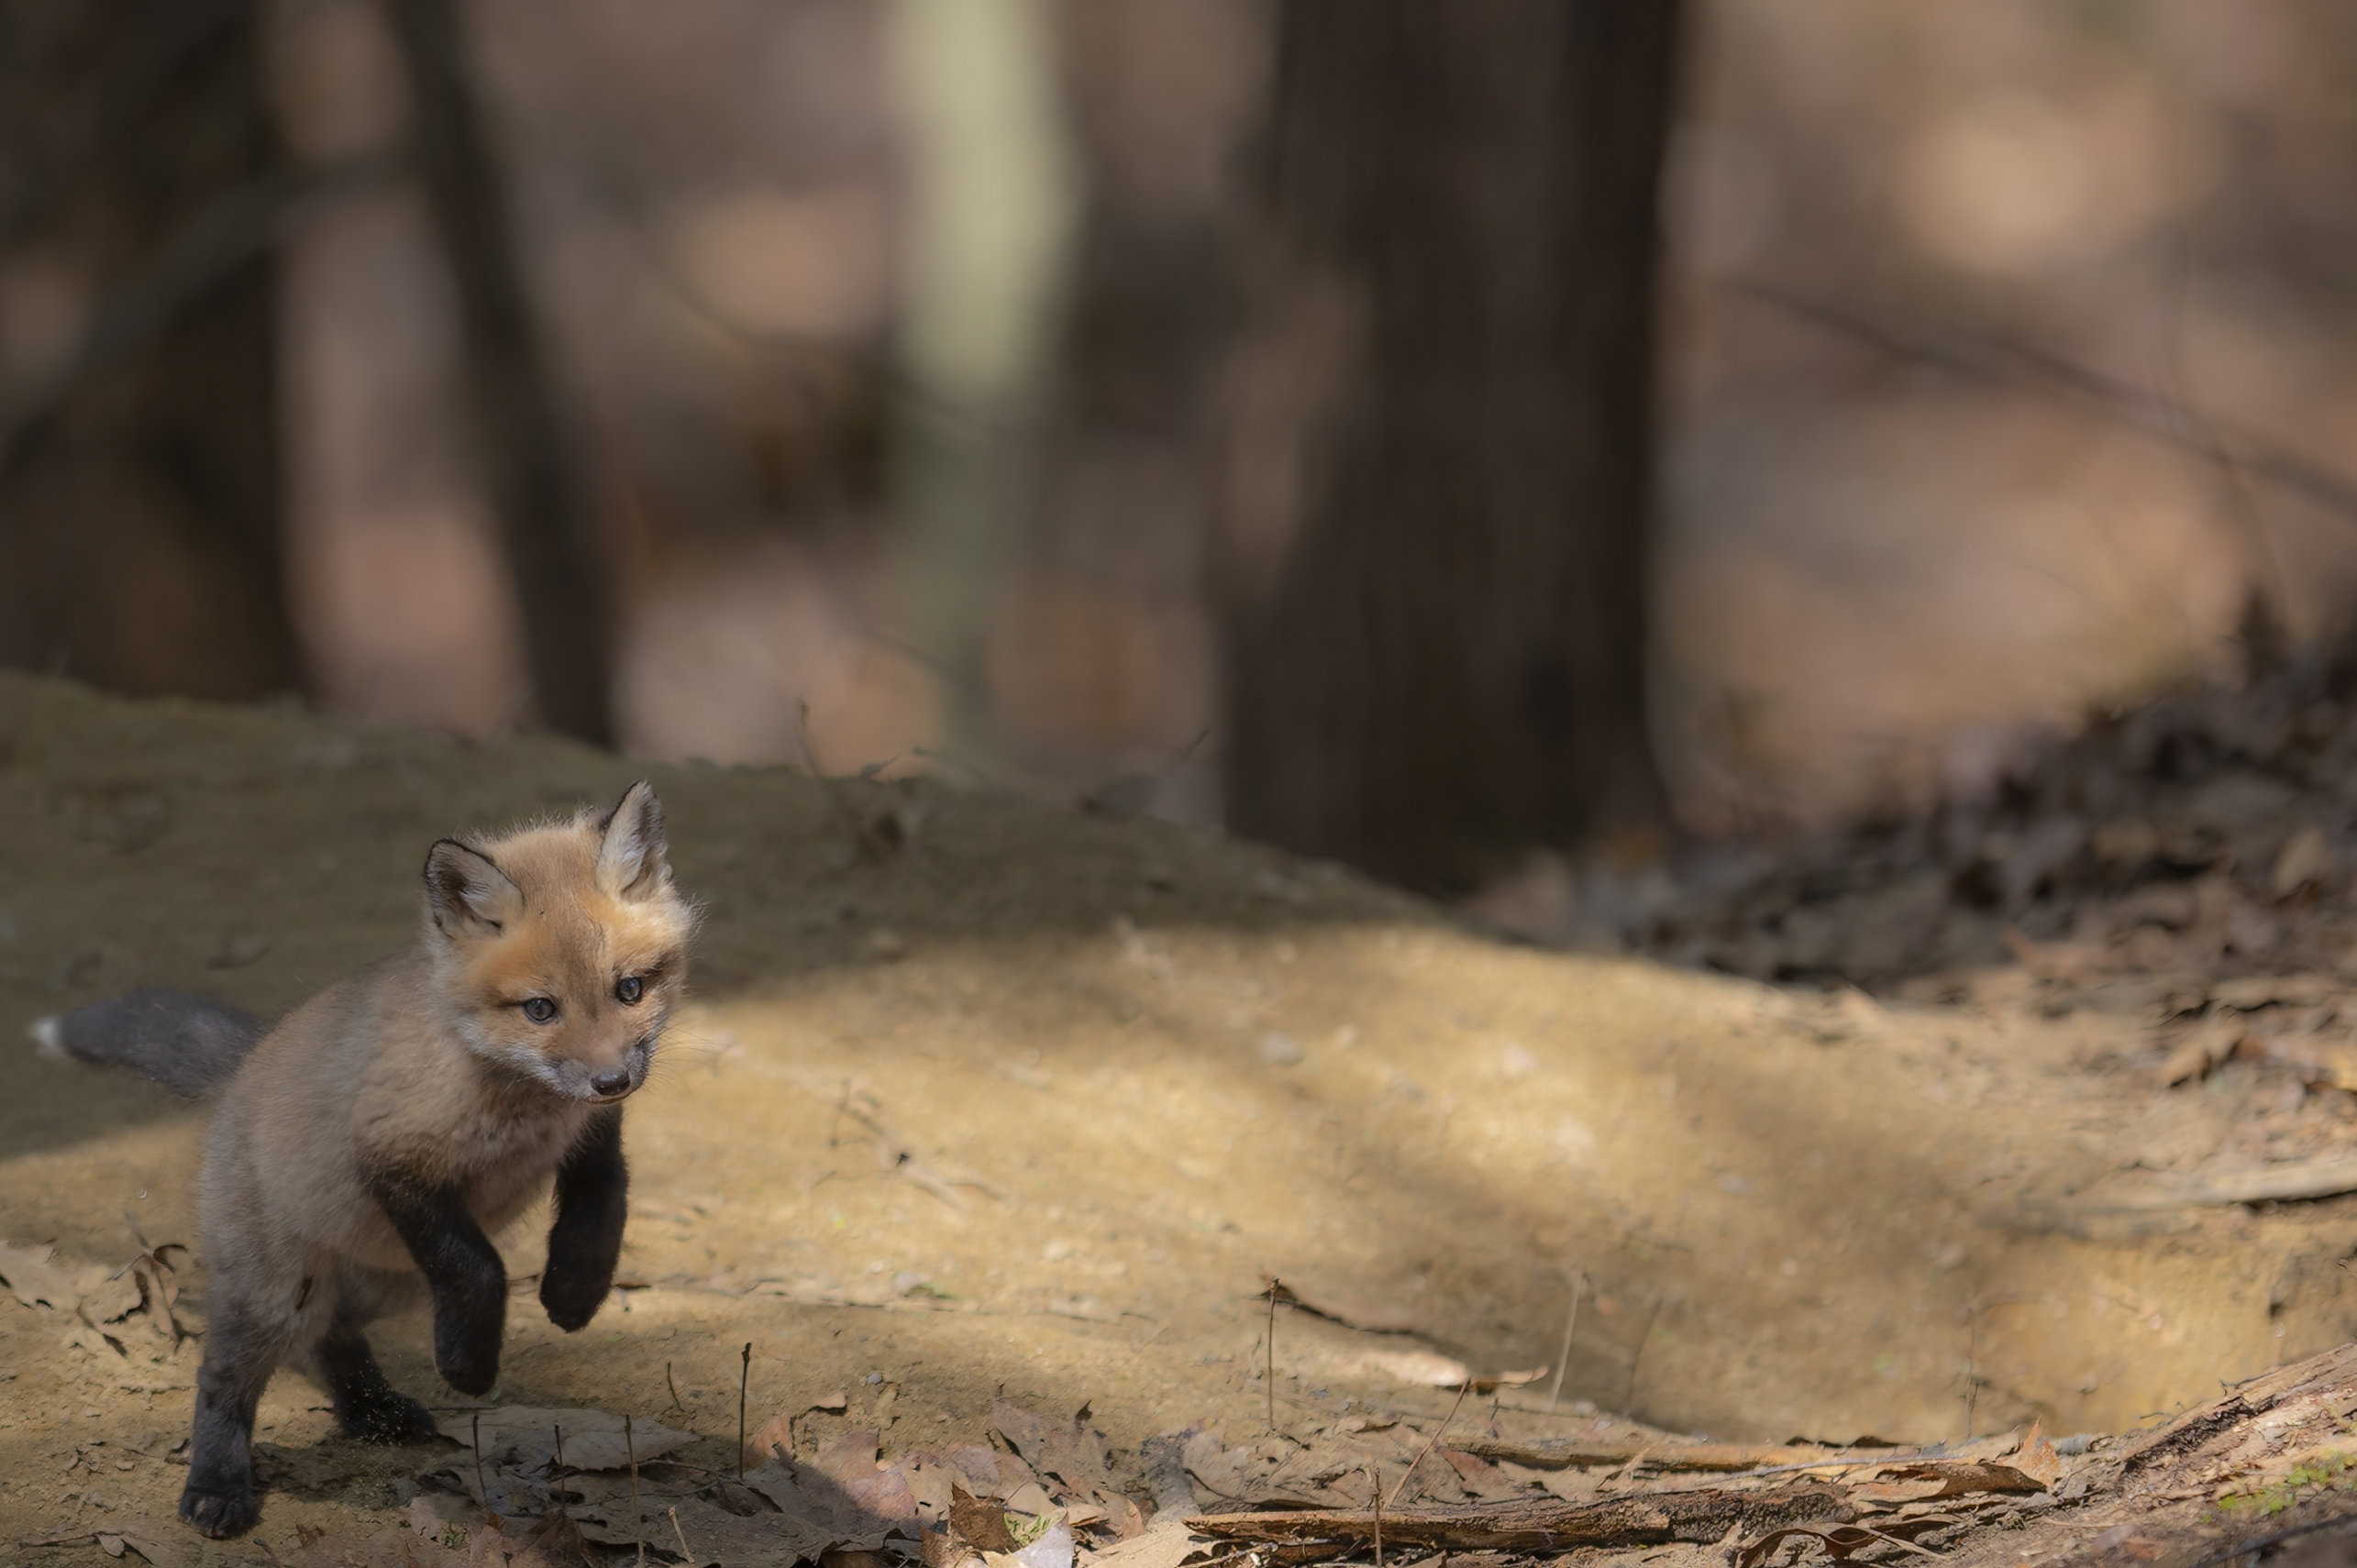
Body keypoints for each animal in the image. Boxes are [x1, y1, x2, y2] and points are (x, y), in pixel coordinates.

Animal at [32, 781, 695, 1538]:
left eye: (630, 990)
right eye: (539, 1009)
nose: (613, 1080)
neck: (519, 1103)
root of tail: (244, 1067)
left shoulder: (589, 1138)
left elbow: (604, 1206)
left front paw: (574, 1295)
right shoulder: (391, 1158)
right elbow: (480, 1269)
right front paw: (469, 1368)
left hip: (386, 1278)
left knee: (330, 1337)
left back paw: (372, 1411)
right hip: (279, 1294)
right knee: (224, 1376)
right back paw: (217, 1484)